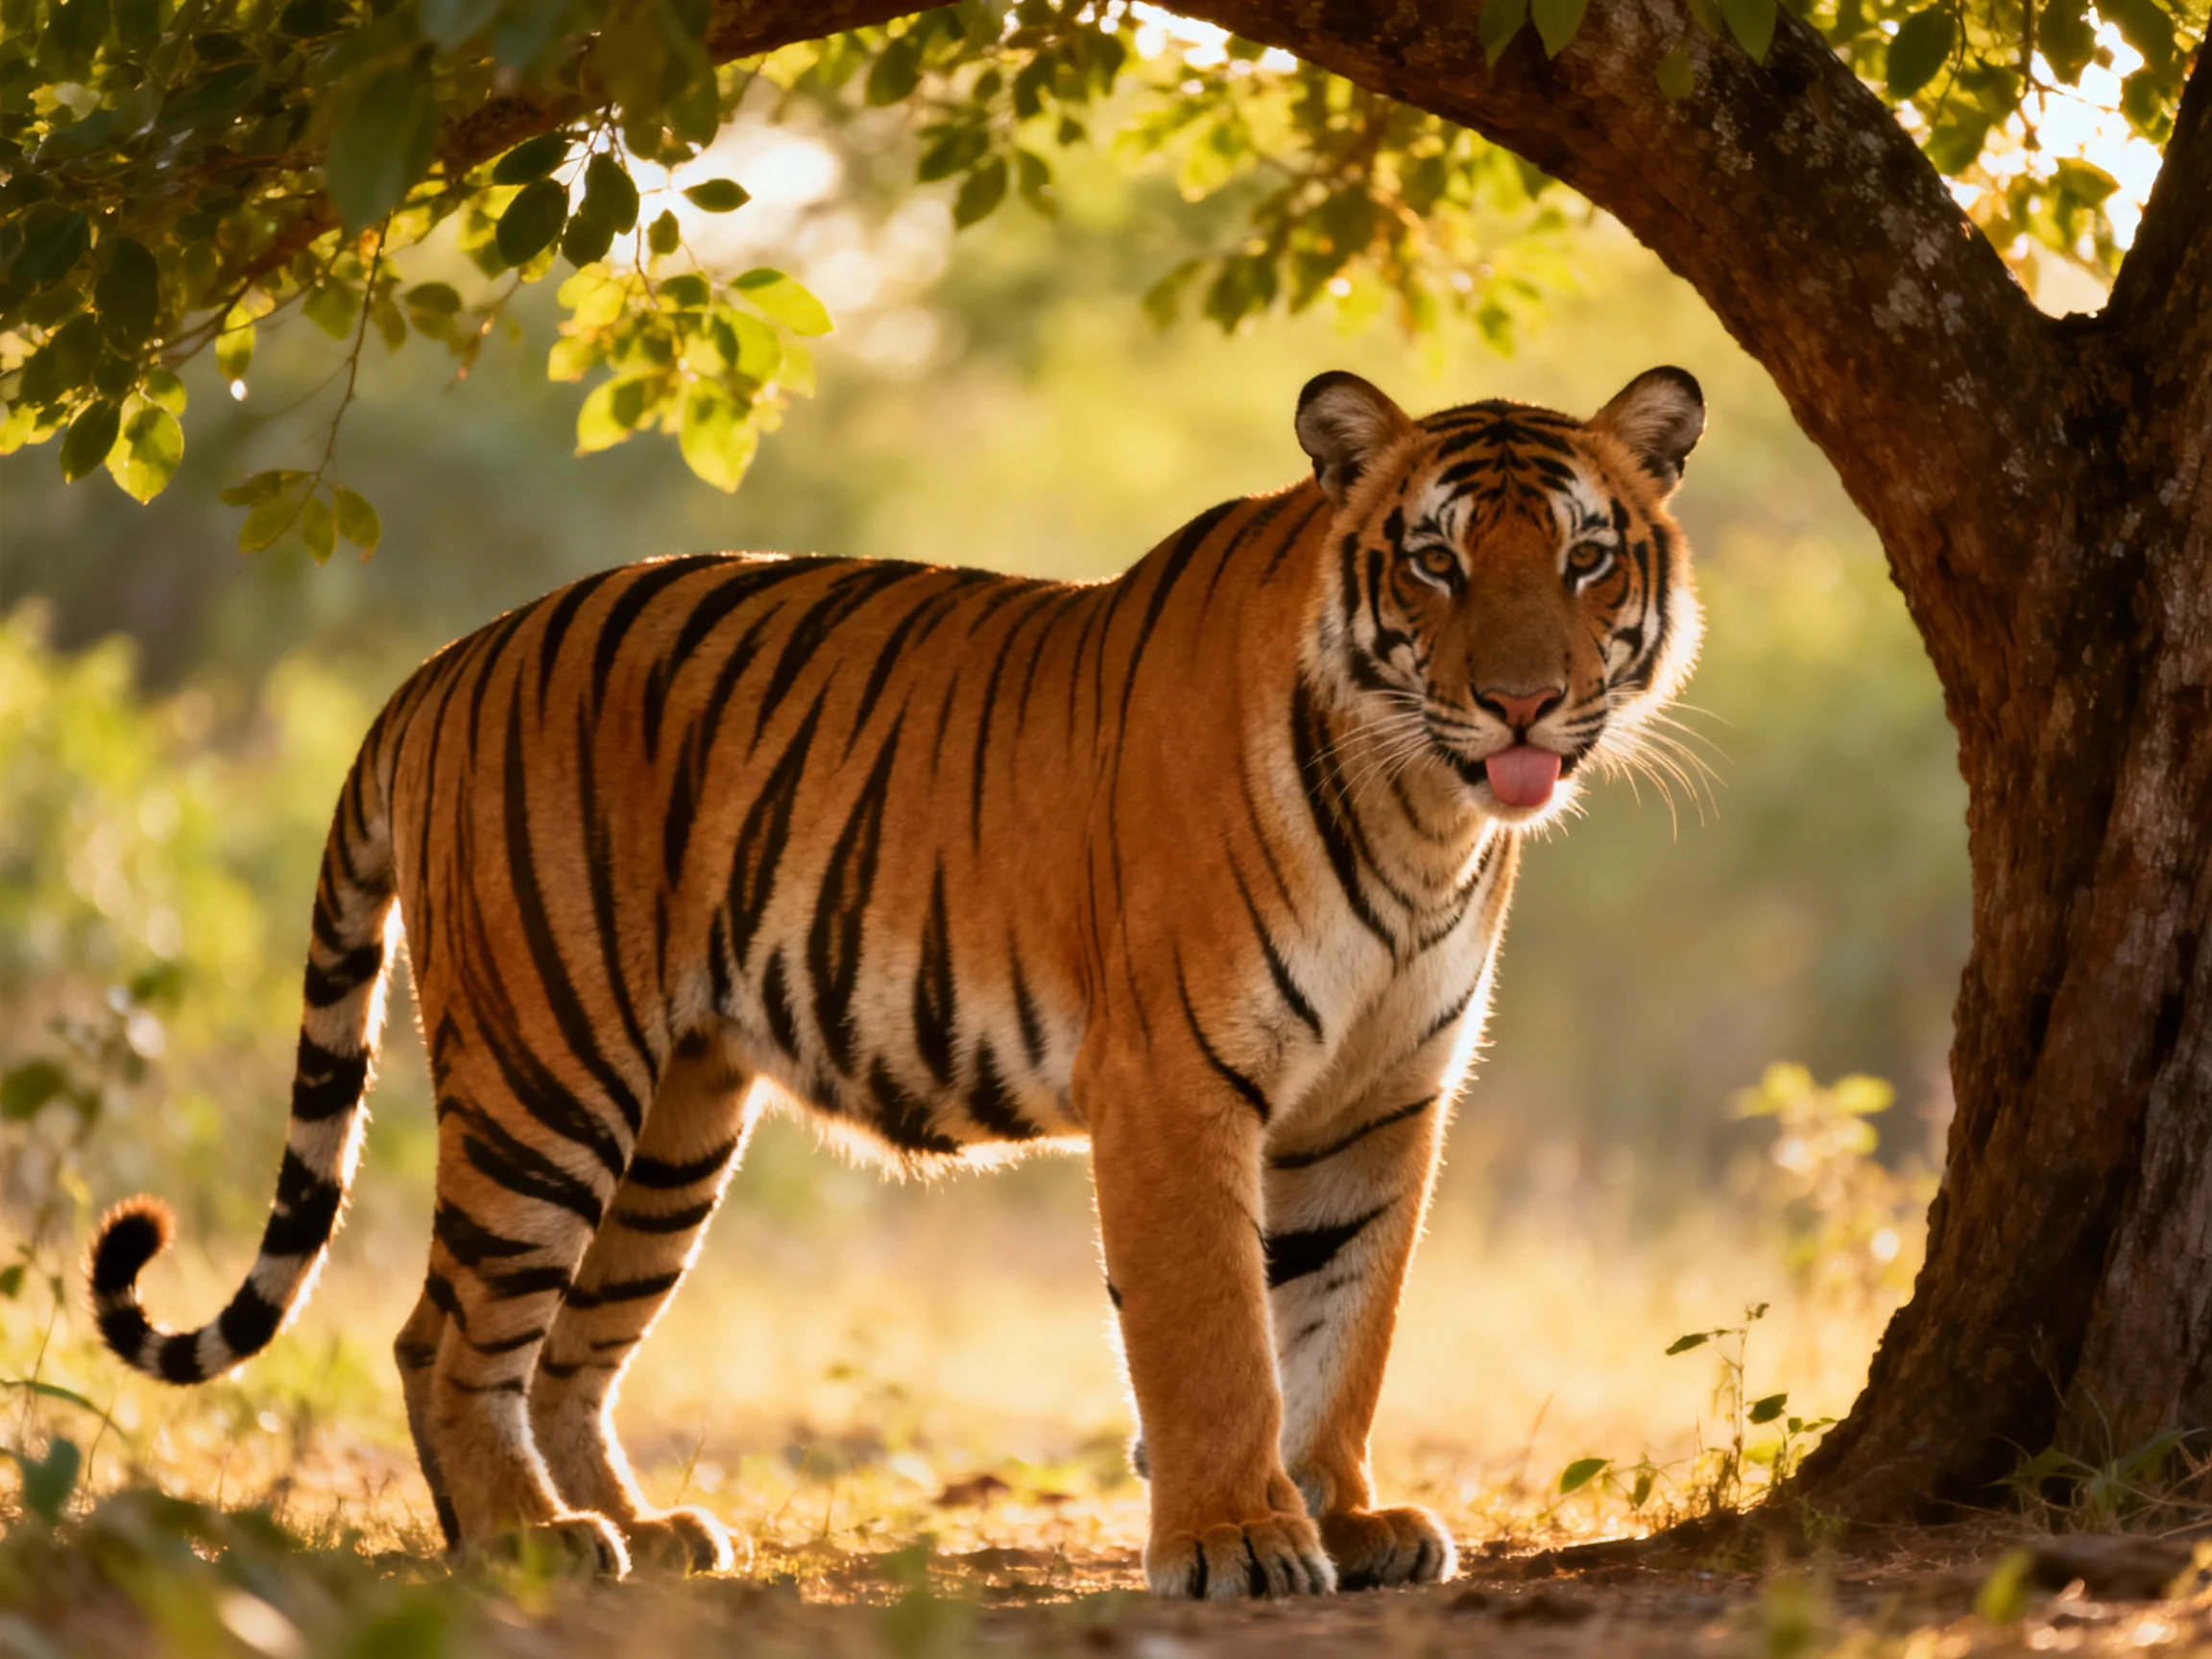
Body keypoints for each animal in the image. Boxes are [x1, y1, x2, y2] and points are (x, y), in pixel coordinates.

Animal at [86, 365, 1703, 1598]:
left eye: (1585, 558)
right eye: (1435, 561)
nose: (1520, 701)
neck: (1424, 814)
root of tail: (442, 663)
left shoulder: (1378, 1099)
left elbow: (1344, 1319)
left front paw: (1345, 1512)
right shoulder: (1177, 1079)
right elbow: (1218, 1337)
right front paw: (1239, 1539)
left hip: (674, 1123)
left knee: (569, 1350)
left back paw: (639, 1529)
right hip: (551, 1067)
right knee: (447, 1331)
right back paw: (530, 1542)